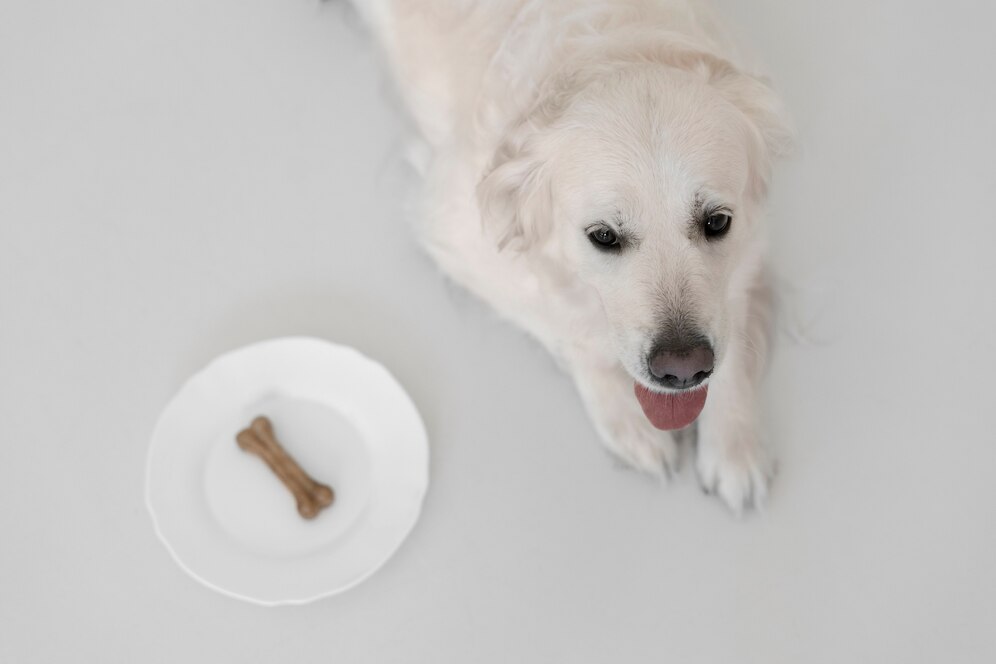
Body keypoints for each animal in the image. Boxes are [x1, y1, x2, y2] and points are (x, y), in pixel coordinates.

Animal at [350, 0, 792, 512]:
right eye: (603, 236)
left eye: (717, 222)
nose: (682, 371)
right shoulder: (456, 229)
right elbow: (568, 325)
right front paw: (629, 421)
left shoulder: (750, 244)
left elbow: (733, 335)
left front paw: (735, 444)